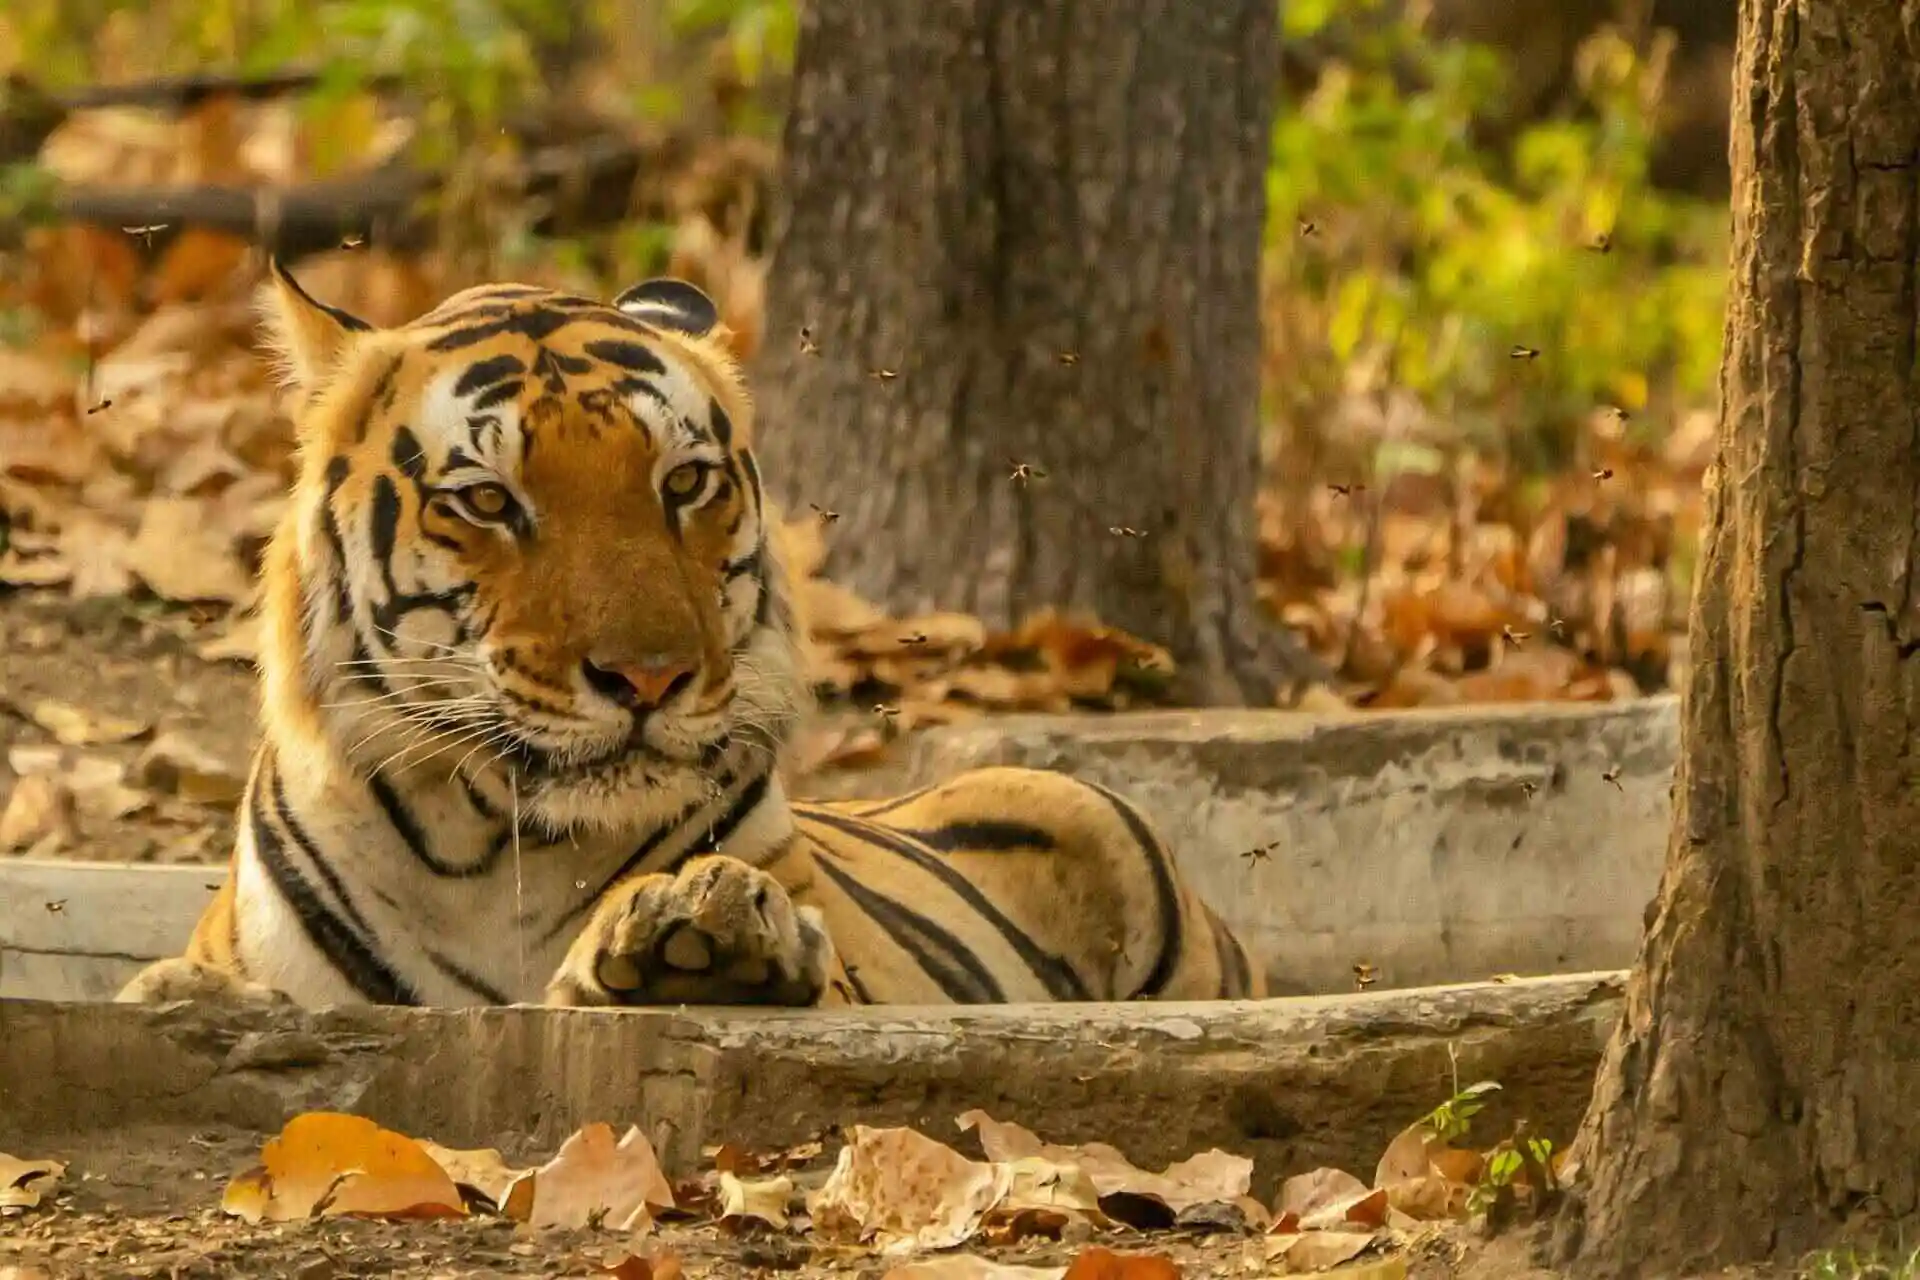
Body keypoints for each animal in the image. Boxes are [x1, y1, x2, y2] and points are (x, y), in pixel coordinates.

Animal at [116, 262, 1259, 1013]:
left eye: (684, 482)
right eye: (487, 500)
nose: (648, 677)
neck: (497, 858)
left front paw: (701, 937)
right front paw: (186, 994)